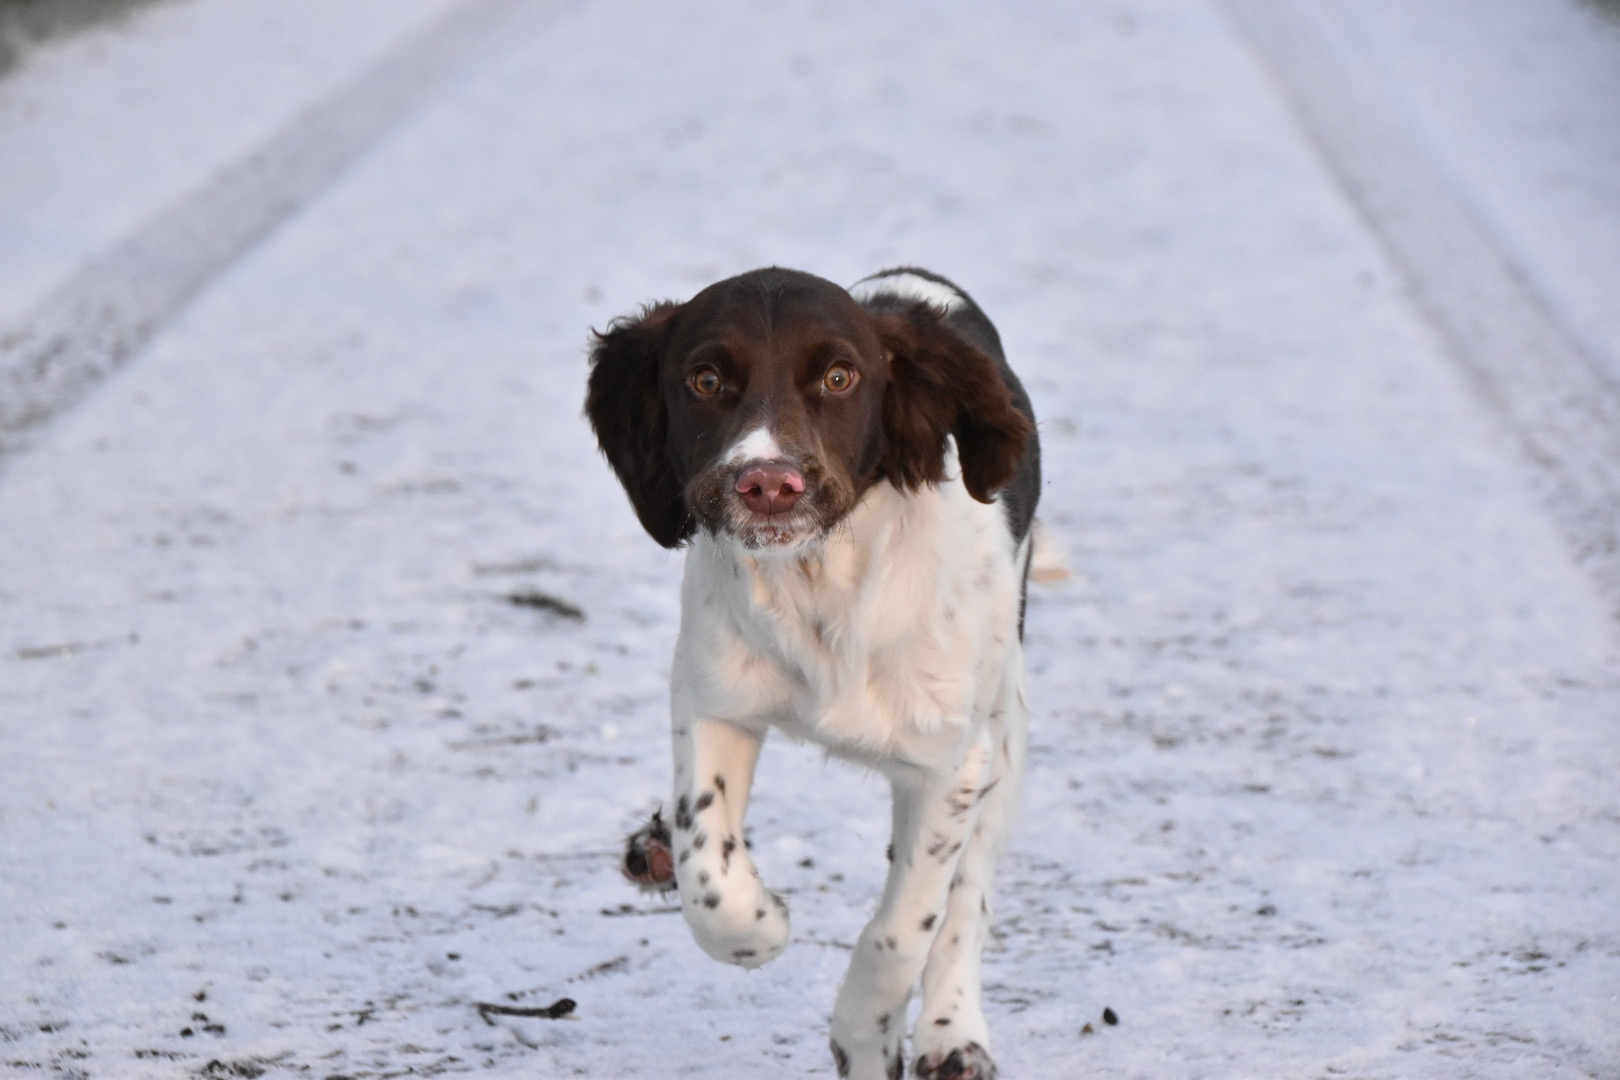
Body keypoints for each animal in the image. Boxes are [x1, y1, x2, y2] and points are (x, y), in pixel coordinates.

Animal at [589, 268, 1043, 1080]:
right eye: (706, 379)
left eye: (839, 377)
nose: (769, 484)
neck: (820, 580)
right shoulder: (712, 696)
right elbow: (712, 875)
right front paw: (759, 921)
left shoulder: (950, 766)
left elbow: (903, 932)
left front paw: (863, 1036)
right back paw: (657, 849)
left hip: (1006, 726)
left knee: (968, 897)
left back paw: (954, 1032)